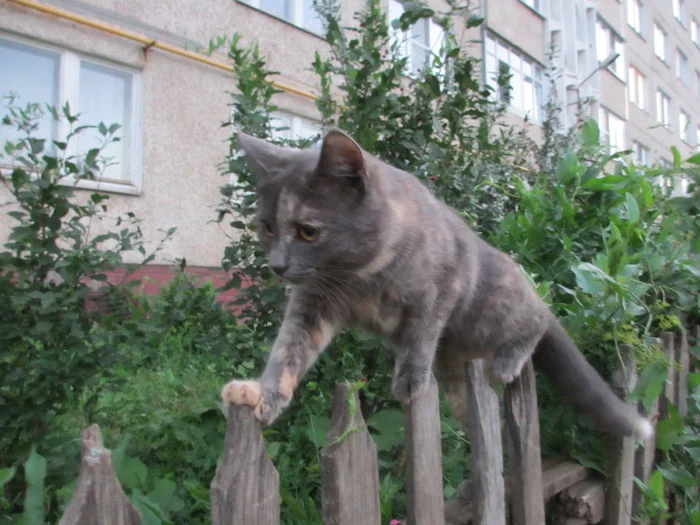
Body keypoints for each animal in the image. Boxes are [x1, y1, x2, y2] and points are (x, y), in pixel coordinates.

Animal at [221, 128, 652, 438]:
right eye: (267, 227)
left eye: (308, 232)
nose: (277, 265)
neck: (360, 276)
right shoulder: (312, 302)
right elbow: (287, 353)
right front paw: (260, 395)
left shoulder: (444, 285)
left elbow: (422, 331)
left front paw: (410, 378)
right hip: (457, 376)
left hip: (499, 305)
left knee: (537, 321)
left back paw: (508, 360)